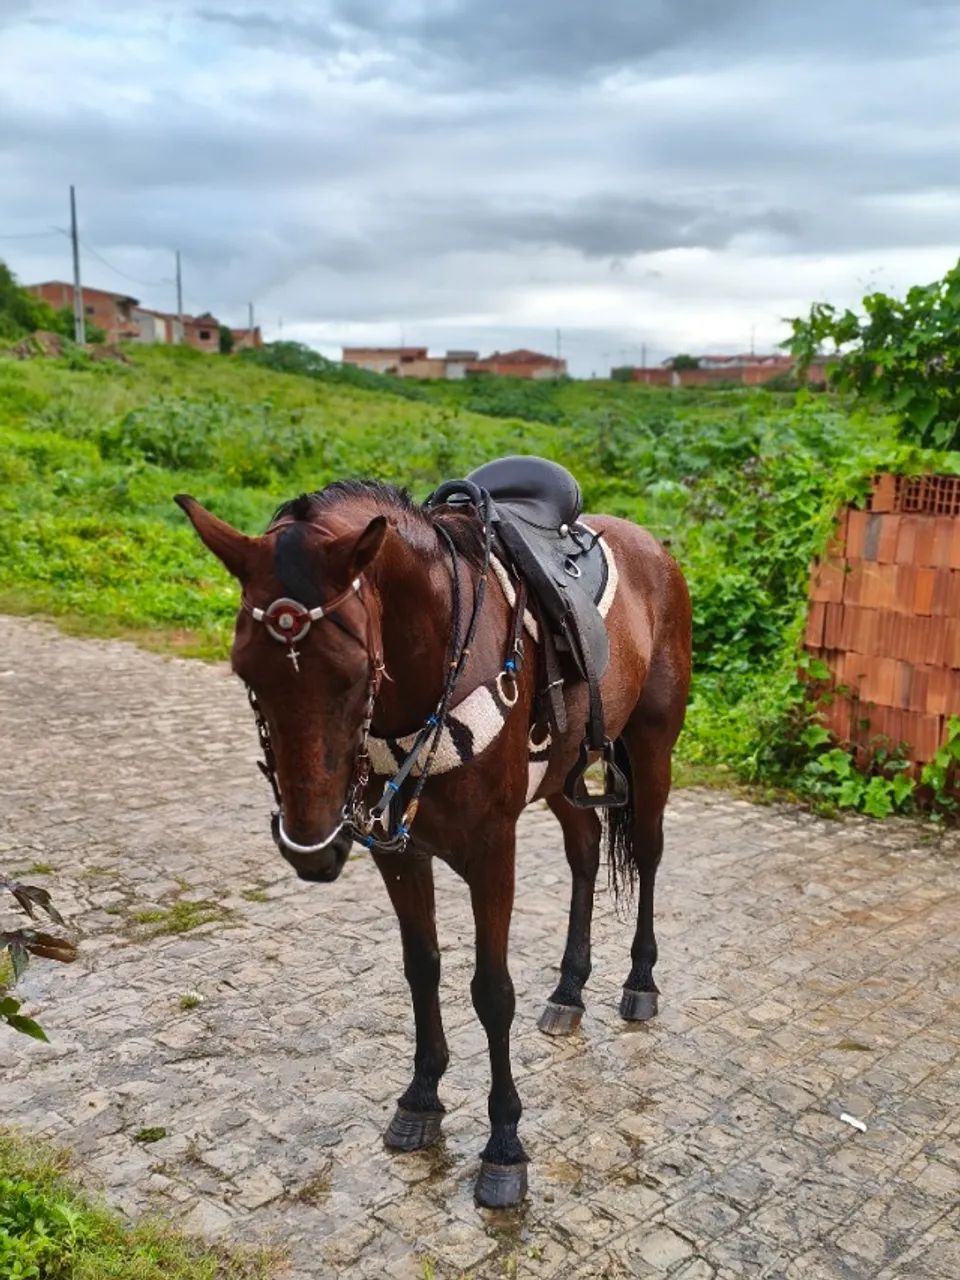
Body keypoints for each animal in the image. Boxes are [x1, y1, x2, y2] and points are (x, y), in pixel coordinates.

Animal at [175, 463, 691, 1208]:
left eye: (353, 672)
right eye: (246, 671)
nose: (313, 845)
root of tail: (656, 548)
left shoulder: (492, 850)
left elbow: (491, 991)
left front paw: (505, 1145)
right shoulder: (398, 852)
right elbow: (421, 968)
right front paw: (421, 1099)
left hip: (652, 748)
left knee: (646, 852)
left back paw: (640, 981)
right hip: (562, 776)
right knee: (586, 846)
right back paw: (569, 990)